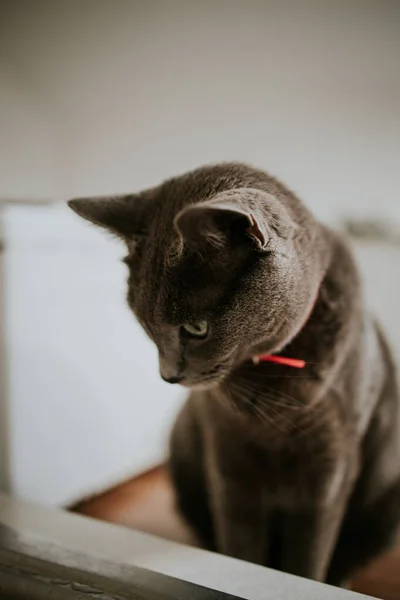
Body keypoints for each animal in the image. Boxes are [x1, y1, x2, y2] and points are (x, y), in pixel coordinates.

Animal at [69, 163, 400, 584]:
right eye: (144, 324)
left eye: (196, 328)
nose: (167, 375)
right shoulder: (227, 459)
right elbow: (241, 543)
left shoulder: (330, 463)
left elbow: (309, 556)